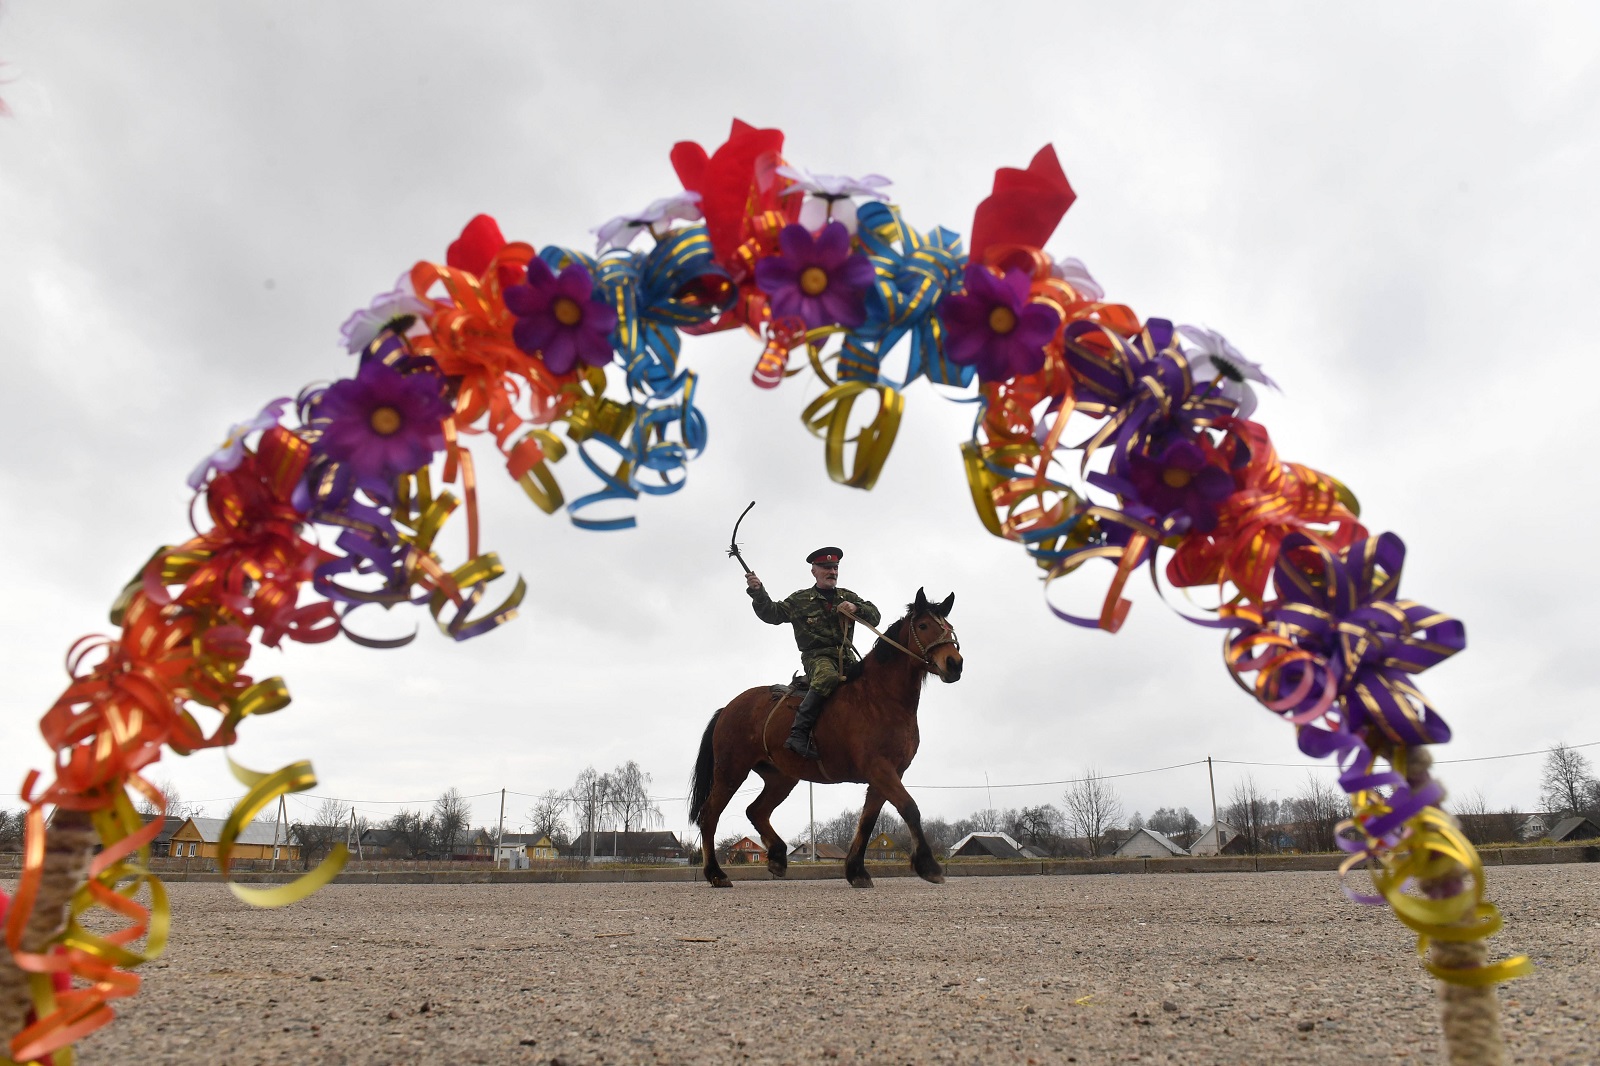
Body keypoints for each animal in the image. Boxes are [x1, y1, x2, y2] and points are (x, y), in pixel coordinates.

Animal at [681, 585, 953, 883]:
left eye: (949, 627)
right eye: (924, 625)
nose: (955, 663)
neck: (879, 696)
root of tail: (728, 708)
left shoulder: (889, 773)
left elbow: (868, 820)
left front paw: (856, 870)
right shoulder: (881, 770)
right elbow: (909, 808)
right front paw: (928, 865)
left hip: (781, 777)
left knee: (756, 810)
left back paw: (778, 856)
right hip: (731, 771)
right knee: (710, 815)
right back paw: (715, 873)